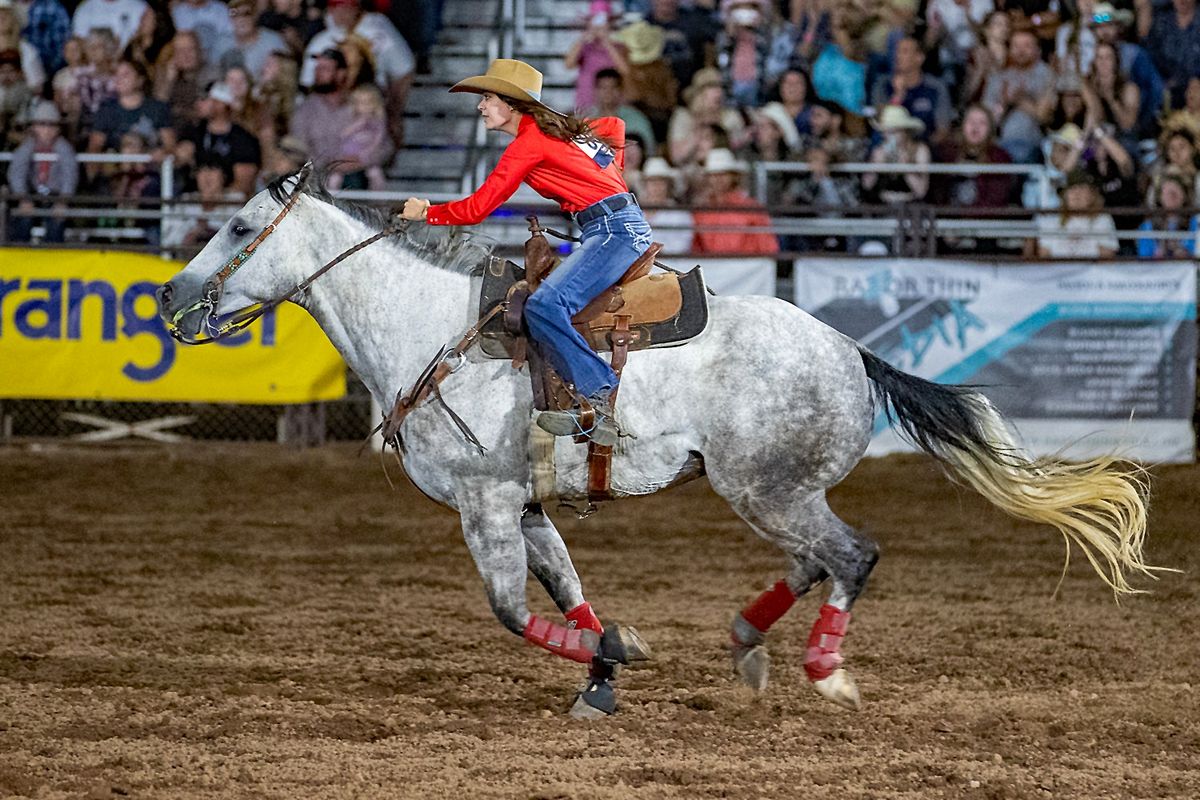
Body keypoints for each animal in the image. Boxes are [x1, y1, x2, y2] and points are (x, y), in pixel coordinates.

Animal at [154, 169, 1156, 719]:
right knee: (816, 562)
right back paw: (747, 638)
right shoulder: (526, 505)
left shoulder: (484, 504)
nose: (168, 297)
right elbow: (570, 594)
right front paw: (605, 668)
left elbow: (511, 611)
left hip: (766, 490)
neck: (429, 328)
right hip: (771, 493)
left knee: (852, 556)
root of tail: (851, 351)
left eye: (238, 226)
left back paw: (825, 673)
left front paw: (616, 659)